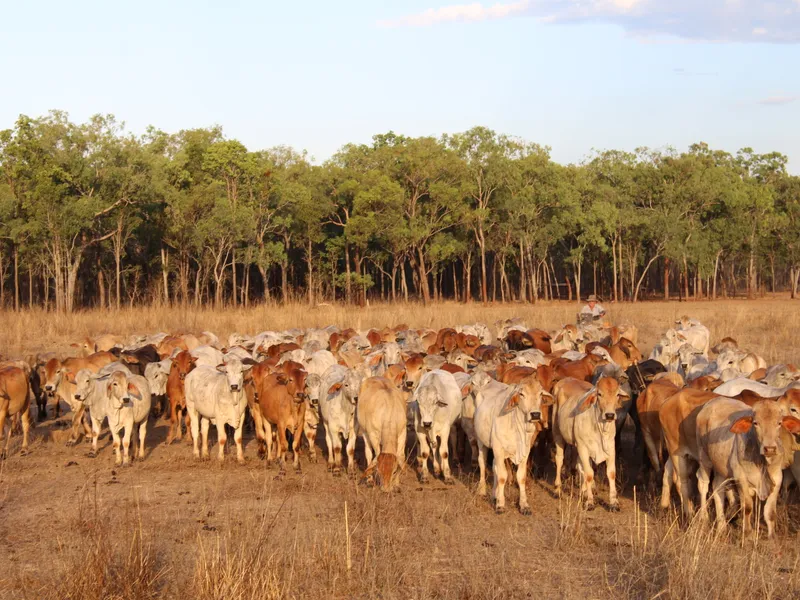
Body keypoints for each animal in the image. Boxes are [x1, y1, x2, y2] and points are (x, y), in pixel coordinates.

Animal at [473, 375, 553, 514]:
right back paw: (482, 490)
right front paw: (500, 504)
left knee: (494, 466)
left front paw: (524, 505)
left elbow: (521, 477)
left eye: (540, 394)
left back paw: (494, 495)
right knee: (482, 462)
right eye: (521, 394)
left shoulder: (525, 452)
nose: (535, 414)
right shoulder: (498, 449)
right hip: (481, 441)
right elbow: (502, 476)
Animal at [552, 377, 629, 510]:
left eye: (617, 394)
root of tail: (566, 379)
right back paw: (557, 490)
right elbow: (589, 474)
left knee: (577, 464)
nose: (610, 415)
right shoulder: (583, 448)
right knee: (559, 459)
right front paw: (590, 502)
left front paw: (614, 502)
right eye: (600, 394)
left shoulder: (610, 448)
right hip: (557, 433)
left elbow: (611, 473)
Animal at [696, 397, 800, 538]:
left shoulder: (777, 479)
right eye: (755, 423)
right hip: (704, 458)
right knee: (703, 484)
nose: (770, 449)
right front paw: (748, 533)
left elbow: (770, 511)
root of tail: (713, 401)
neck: (762, 462)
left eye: (779, 423)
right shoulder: (741, 479)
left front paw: (772, 535)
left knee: (718, 487)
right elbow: (748, 507)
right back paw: (703, 518)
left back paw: (722, 526)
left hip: (721, 467)